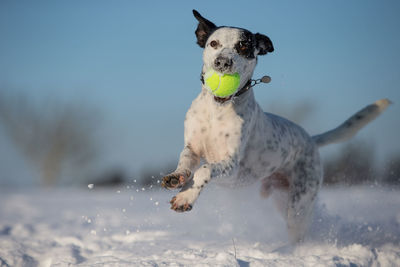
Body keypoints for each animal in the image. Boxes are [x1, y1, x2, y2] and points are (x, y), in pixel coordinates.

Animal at [161, 9, 390, 245]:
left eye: (243, 46)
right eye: (213, 43)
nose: (222, 62)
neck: (217, 109)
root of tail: (311, 139)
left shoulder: (232, 166)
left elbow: (204, 170)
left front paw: (185, 197)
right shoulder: (193, 147)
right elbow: (186, 162)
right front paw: (178, 178)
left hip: (299, 203)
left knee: (299, 230)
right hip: (282, 197)